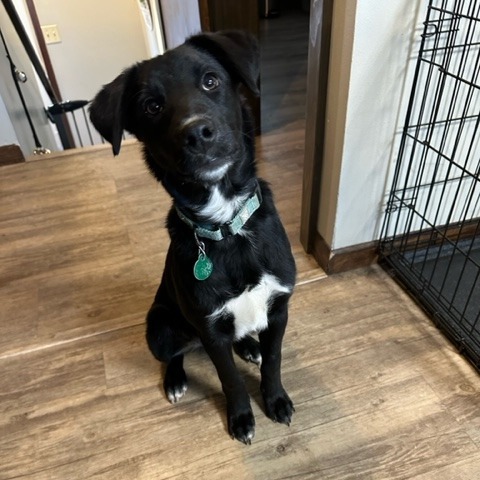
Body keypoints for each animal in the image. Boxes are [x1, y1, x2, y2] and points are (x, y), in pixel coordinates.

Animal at [88, 29, 294, 442]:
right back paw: (175, 380)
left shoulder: (279, 309)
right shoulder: (211, 332)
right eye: (151, 106)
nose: (197, 132)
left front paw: (276, 398)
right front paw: (241, 417)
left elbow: (274, 360)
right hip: (161, 329)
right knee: (176, 354)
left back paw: (249, 346)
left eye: (211, 81)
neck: (228, 226)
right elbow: (230, 380)